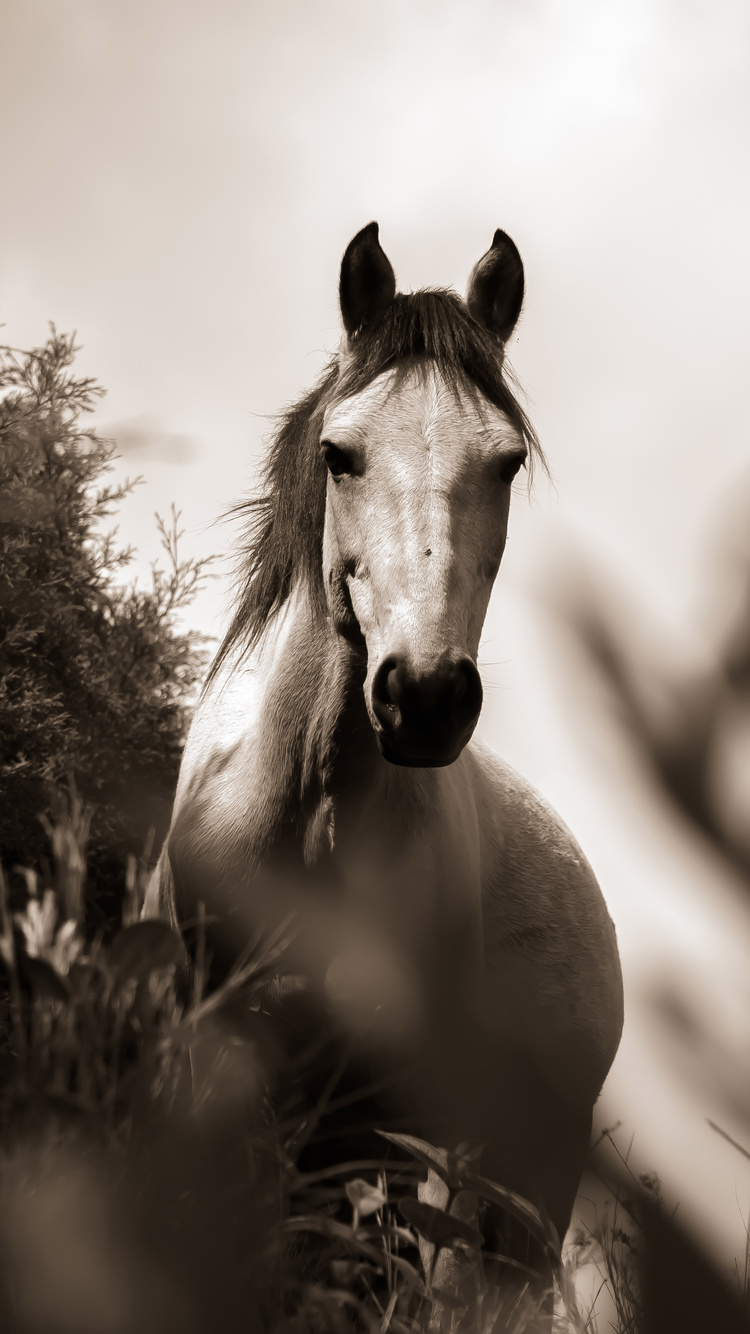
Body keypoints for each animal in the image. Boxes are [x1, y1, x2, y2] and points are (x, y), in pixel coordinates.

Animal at [144, 223, 624, 1319]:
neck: (306, 815)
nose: (426, 694)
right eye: (340, 454)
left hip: (516, 1178)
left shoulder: (373, 1117)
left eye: (505, 461)